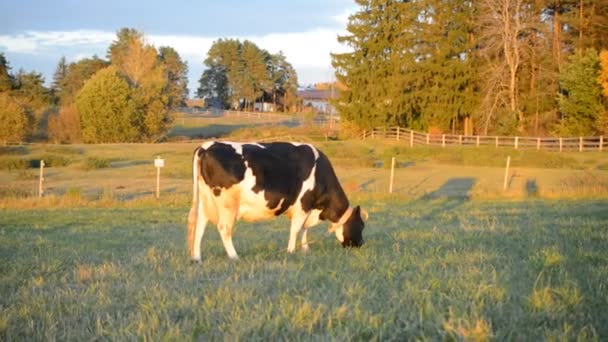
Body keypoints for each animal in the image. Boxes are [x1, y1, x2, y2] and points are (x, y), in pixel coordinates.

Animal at [185, 140, 366, 260]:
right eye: (361, 225)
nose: (361, 244)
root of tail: (206, 146)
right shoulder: (304, 204)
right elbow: (296, 229)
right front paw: (291, 251)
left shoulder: (307, 208)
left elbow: (304, 229)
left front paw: (305, 248)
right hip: (227, 202)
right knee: (224, 228)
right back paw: (234, 256)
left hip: (205, 200)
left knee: (200, 226)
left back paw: (197, 258)